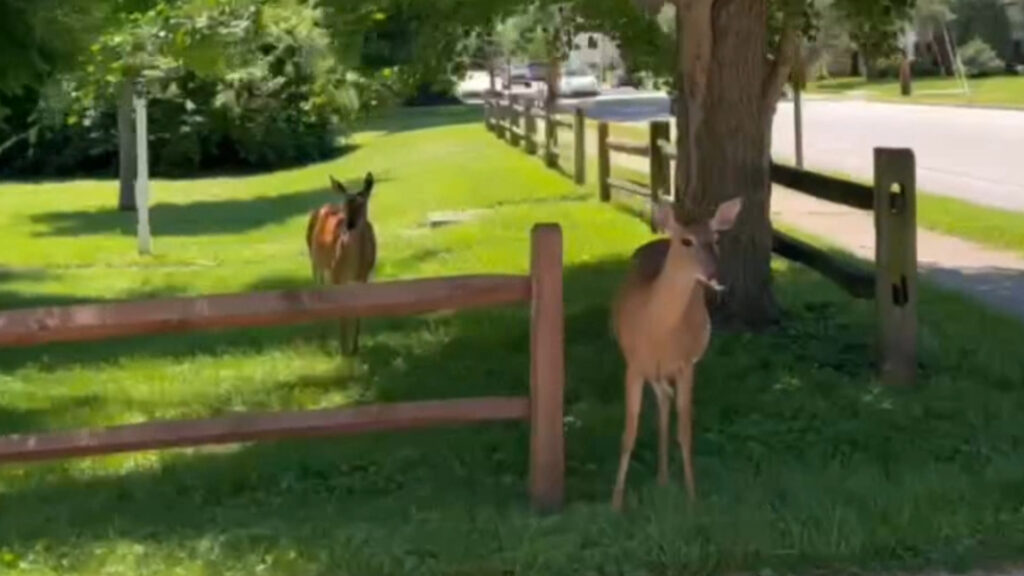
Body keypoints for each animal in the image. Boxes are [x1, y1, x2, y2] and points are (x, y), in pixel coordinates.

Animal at [305, 172, 377, 356]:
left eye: (362, 204)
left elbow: (358, 309)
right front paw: (344, 350)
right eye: (345, 205)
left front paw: (355, 347)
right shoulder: (337, 275)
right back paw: (321, 335)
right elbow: (342, 310)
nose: (349, 225)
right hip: (315, 260)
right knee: (317, 287)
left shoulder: (364, 277)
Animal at [609, 196, 743, 511]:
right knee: (663, 400)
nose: (715, 275)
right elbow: (628, 433)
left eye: (715, 238)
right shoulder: (634, 365)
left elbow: (685, 430)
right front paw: (615, 502)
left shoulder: (686, 364)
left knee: (665, 402)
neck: (659, 331)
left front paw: (693, 496)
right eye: (686, 241)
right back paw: (661, 476)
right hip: (648, 369)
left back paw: (663, 476)